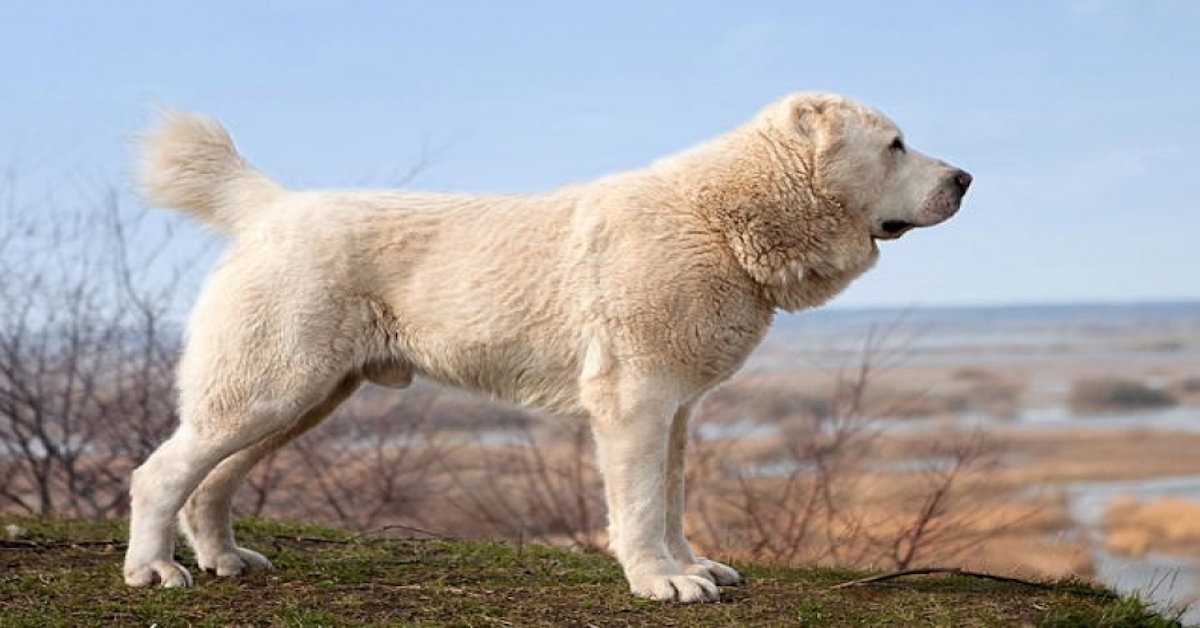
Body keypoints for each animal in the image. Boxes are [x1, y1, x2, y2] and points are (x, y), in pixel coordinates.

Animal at [124, 92, 964, 600]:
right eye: (895, 145)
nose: (965, 178)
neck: (720, 220)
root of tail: (271, 207)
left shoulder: (677, 410)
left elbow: (672, 497)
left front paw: (689, 565)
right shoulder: (636, 403)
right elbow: (640, 503)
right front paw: (661, 582)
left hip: (301, 400)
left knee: (211, 481)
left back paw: (223, 560)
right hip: (272, 388)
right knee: (160, 473)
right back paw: (153, 569)